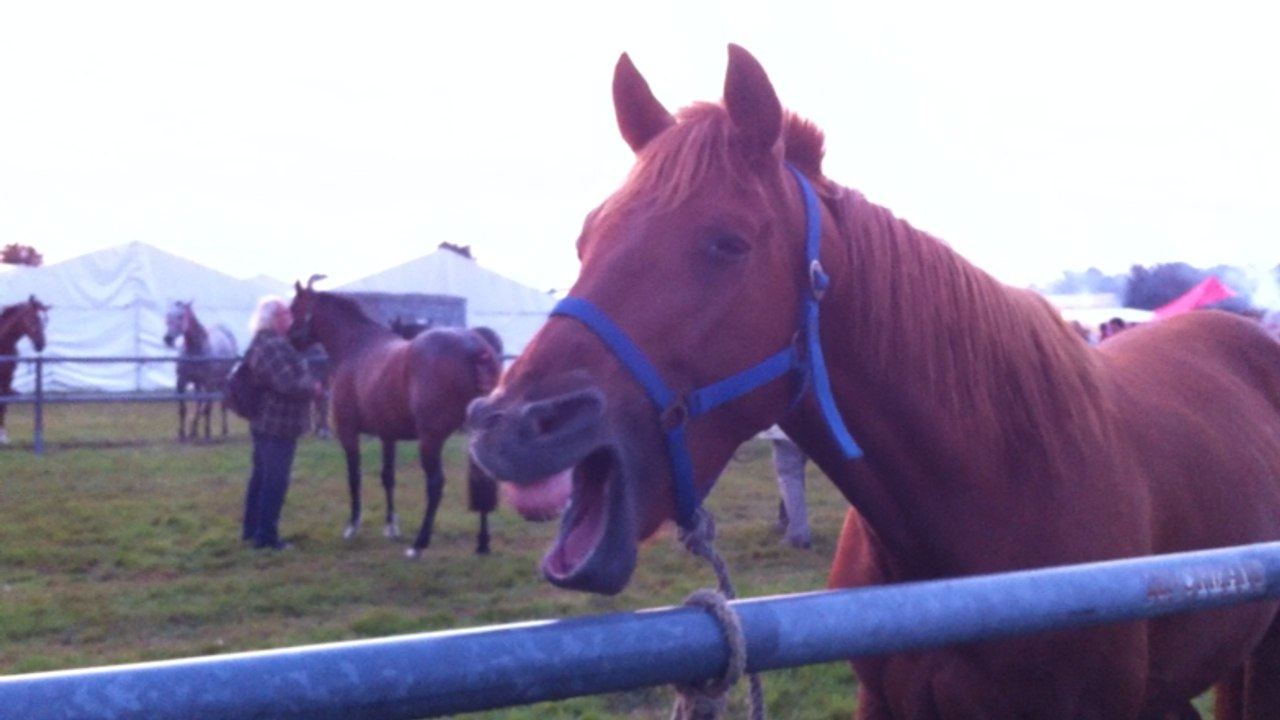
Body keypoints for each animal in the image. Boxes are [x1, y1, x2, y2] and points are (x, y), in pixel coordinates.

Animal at [0, 295, 49, 445]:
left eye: (44, 320)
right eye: (33, 318)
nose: (41, 344)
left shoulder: (7, 378)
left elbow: (4, 405)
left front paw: (3, 437)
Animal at [163, 301, 239, 442]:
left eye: (181, 316)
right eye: (167, 315)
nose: (168, 338)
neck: (196, 350)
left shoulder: (209, 383)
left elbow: (208, 408)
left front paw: (207, 433)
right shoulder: (181, 381)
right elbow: (183, 408)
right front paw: (182, 434)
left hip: (222, 379)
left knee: (221, 404)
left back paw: (224, 430)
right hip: (199, 383)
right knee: (199, 404)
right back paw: (193, 431)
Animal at [289, 282, 504, 557]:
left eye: (295, 307)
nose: (290, 339)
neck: (357, 346)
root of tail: (475, 348)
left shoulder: (348, 432)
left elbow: (354, 476)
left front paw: (352, 525)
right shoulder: (387, 436)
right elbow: (388, 477)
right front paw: (391, 526)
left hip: (430, 439)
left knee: (435, 484)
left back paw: (420, 544)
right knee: (482, 478)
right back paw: (483, 542)